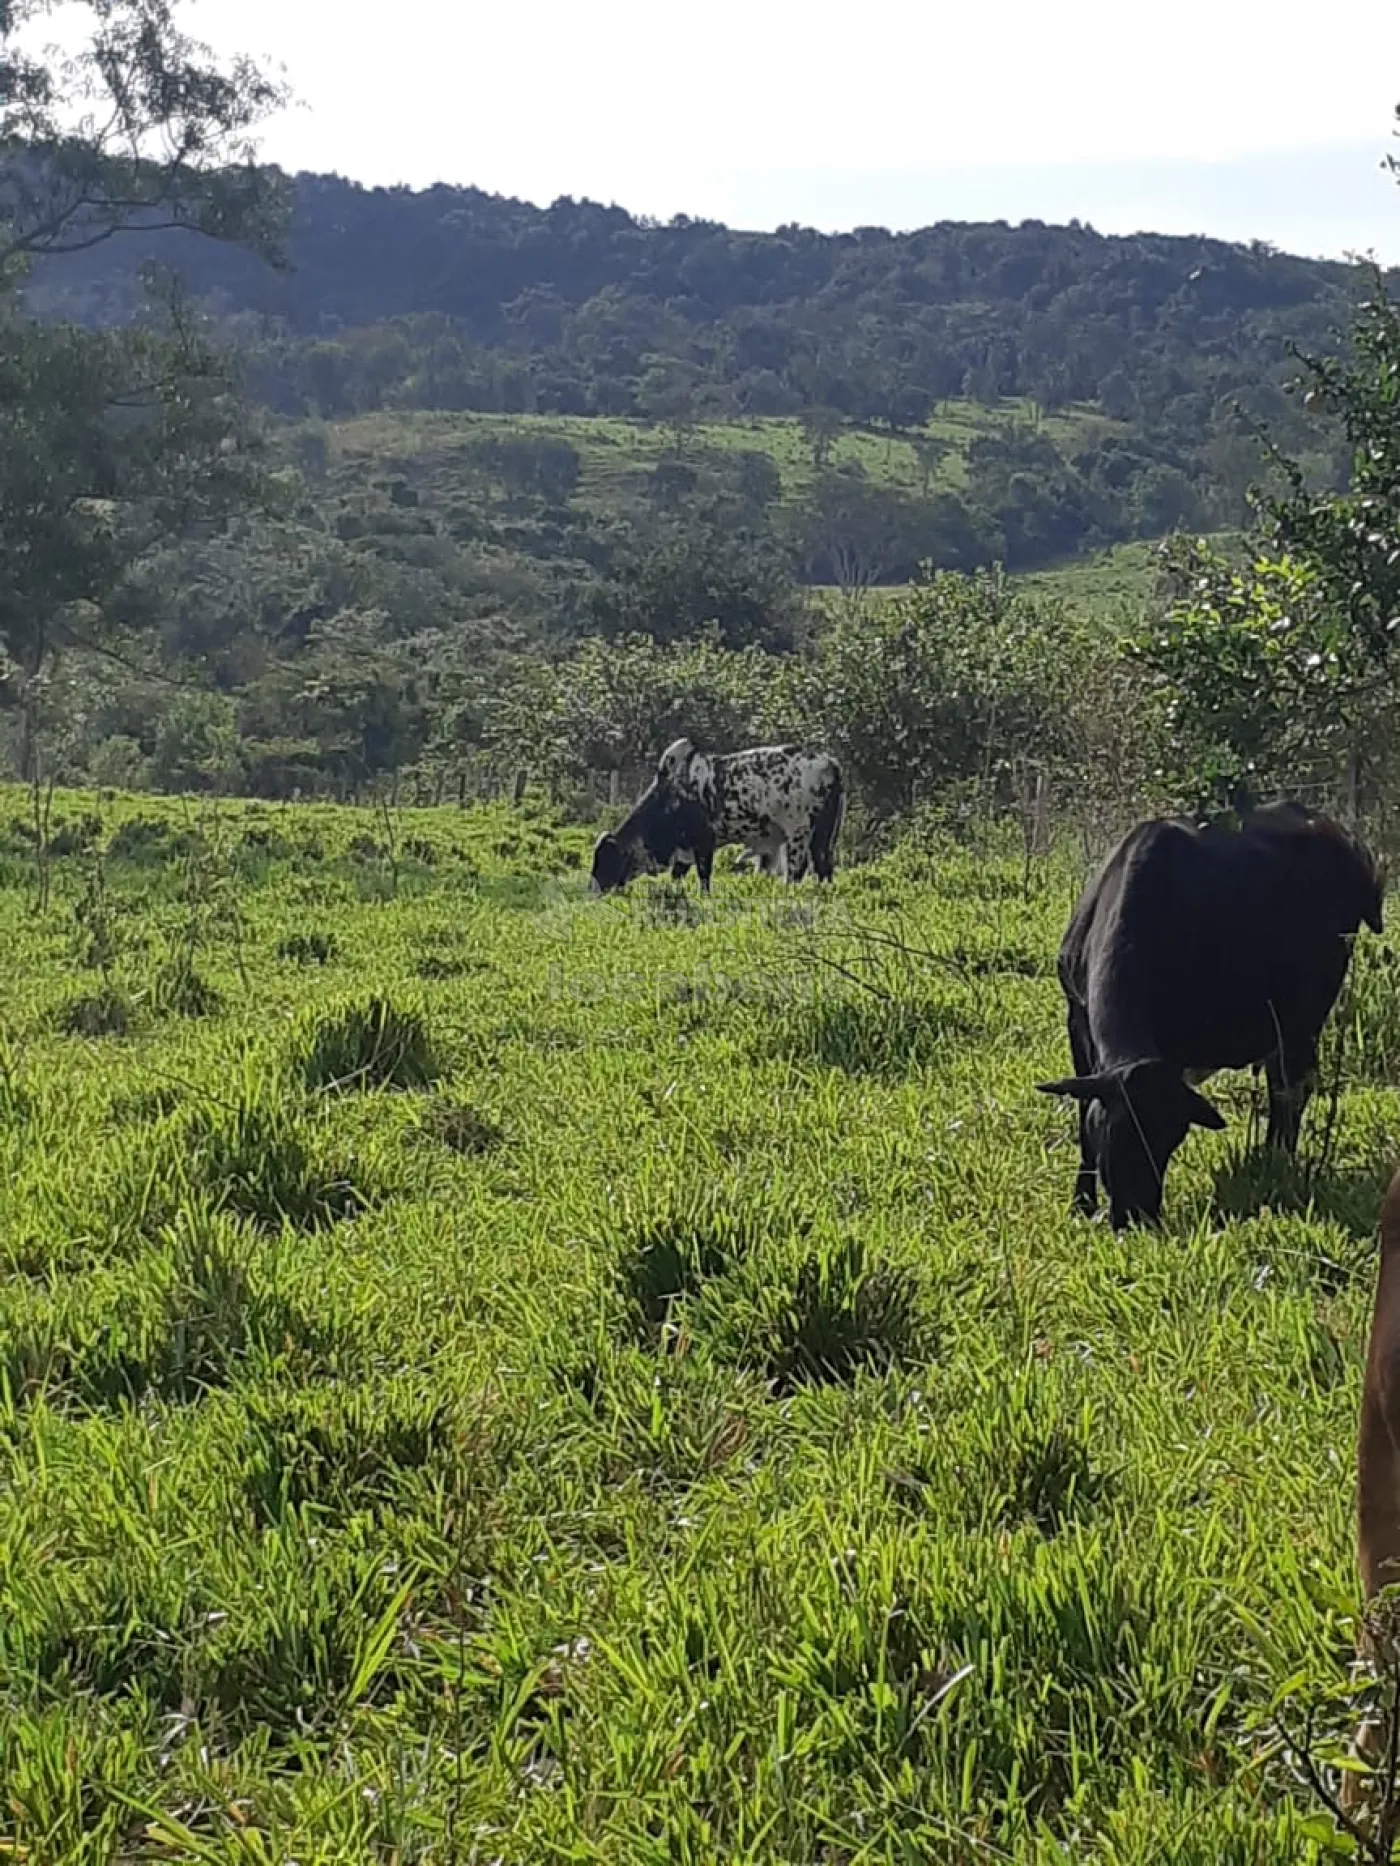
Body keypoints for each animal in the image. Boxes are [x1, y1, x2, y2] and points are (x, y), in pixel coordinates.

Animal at [589, 735, 843, 895]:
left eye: (608, 858)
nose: (593, 889)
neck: (672, 794)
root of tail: (830, 763)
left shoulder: (704, 842)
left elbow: (704, 875)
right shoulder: (685, 851)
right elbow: (677, 876)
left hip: (799, 834)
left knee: (796, 871)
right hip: (822, 837)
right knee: (823, 866)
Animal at [1037, 798, 1388, 1224]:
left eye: (1169, 1139)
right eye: (1112, 1130)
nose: (1136, 1216)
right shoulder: (1077, 1019)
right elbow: (1082, 1108)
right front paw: (1081, 1203)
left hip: (1307, 1013)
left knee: (1291, 1087)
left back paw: (1276, 1161)